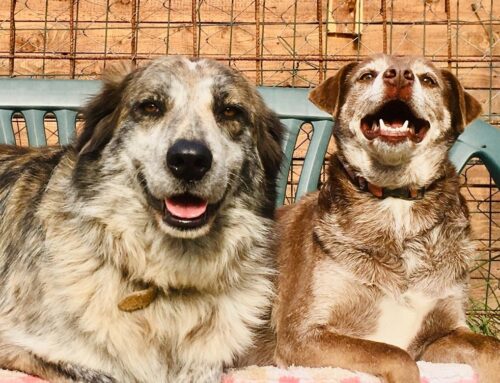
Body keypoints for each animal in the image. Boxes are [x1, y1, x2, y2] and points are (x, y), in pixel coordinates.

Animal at [274, 55, 500, 383]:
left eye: (428, 79)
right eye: (367, 75)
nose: (400, 75)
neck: (396, 202)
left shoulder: (440, 333)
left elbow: (490, 347)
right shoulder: (300, 335)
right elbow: (397, 356)